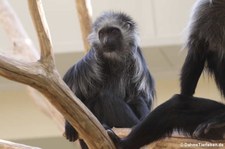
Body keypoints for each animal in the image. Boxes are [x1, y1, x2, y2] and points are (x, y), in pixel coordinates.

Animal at [63, 11, 155, 148]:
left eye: (113, 31)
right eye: (102, 33)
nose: (106, 41)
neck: (113, 59)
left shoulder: (136, 59)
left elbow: (139, 96)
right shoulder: (92, 59)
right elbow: (75, 93)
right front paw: (69, 124)